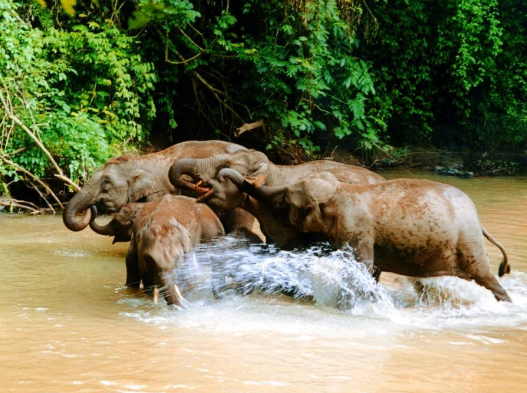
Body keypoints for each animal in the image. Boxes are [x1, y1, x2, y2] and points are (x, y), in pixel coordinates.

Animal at [220, 168, 512, 300]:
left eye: (284, 201)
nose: (224, 175)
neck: (339, 191)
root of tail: (478, 219)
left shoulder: (355, 227)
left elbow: (361, 267)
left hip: (468, 243)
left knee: (486, 277)